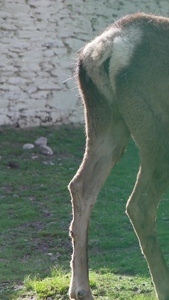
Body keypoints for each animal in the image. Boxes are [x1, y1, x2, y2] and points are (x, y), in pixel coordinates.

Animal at [68, 12, 169, 300]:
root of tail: (108, 45)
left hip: (106, 121)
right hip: (156, 130)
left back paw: (81, 289)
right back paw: (163, 287)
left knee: (81, 185)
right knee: (139, 205)